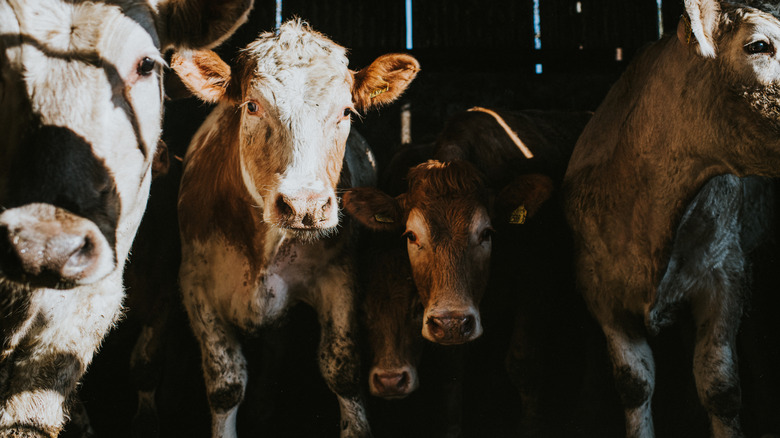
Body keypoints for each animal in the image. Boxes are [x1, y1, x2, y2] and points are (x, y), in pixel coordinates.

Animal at [168, 18, 418, 436]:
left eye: (346, 111)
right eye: (252, 106)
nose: (305, 205)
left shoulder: (340, 277)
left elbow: (343, 371)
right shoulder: (195, 285)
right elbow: (225, 383)